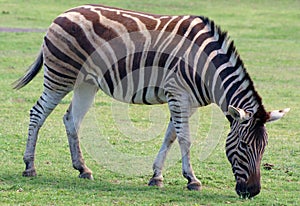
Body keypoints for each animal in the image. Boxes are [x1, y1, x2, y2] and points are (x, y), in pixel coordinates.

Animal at [13, 4, 288, 198]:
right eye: (243, 146)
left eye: (264, 148)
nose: (252, 192)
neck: (207, 67)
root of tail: (63, 13)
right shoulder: (177, 93)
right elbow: (185, 139)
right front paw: (193, 180)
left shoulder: (184, 101)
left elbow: (171, 137)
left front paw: (157, 177)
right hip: (61, 75)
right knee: (37, 113)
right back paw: (29, 167)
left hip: (86, 83)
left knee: (71, 119)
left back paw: (83, 168)